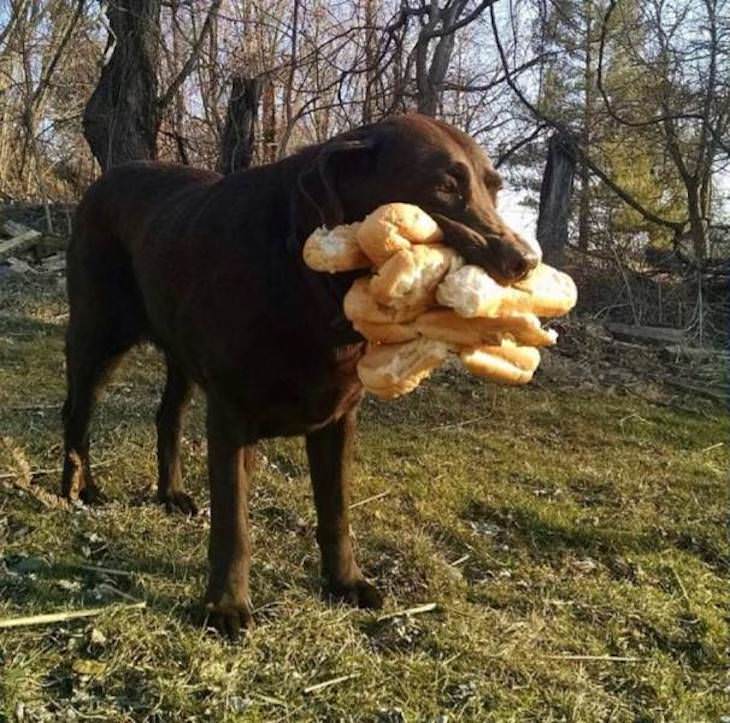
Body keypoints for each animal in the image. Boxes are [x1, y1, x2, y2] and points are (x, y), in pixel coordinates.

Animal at [61, 110, 536, 636]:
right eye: (444, 186)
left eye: (493, 189)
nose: (524, 262)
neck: (309, 283)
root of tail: (105, 179)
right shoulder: (230, 416)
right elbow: (233, 525)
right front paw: (226, 605)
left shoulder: (338, 420)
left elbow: (336, 513)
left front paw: (345, 582)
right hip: (99, 335)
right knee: (77, 411)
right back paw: (78, 489)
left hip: (177, 351)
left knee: (167, 416)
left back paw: (173, 493)